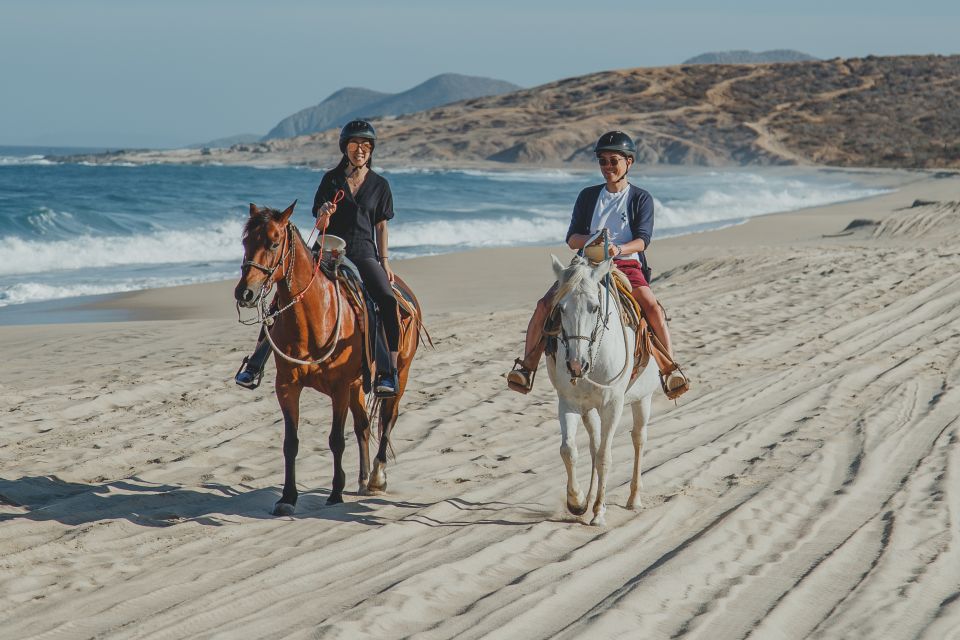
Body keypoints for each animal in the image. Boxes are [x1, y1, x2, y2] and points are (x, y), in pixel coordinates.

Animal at [234, 200, 422, 516]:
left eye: (274, 243)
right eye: (245, 242)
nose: (244, 292)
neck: (313, 318)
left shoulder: (339, 388)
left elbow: (335, 440)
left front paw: (335, 493)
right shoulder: (287, 386)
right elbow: (291, 442)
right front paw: (287, 497)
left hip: (399, 375)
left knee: (387, 419)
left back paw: (377, 477)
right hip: (358, 385)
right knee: (363, 427)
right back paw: (362, 478)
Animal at [548, 254, 660, 524]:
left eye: (595, 307)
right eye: (561, 308)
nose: (576, 365)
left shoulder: (612, 404)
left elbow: (605, 457)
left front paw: (599, 511)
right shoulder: (568, 402)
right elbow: (568, 450)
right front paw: (577, 501)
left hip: (643, 398)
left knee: (638, 438)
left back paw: (633, 498)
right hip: (589, 409)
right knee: (594, 444)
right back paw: (588, 498)